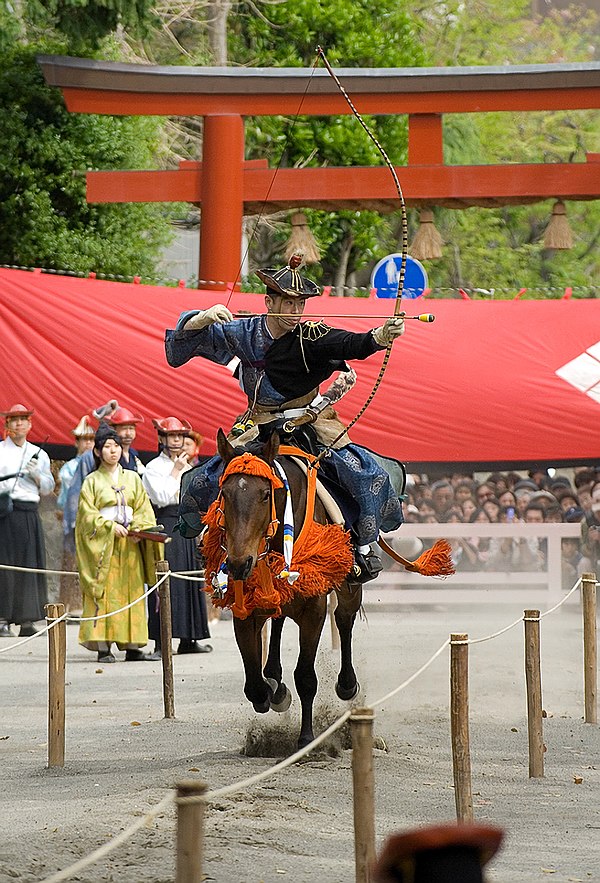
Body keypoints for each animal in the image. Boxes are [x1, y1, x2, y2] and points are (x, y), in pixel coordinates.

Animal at [204, 432, 360, 748]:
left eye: (266, 494)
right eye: (225, 493)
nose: (239, 563)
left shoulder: (314, 610)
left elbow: (306, 677)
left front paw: (306, 739)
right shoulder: (245, 609)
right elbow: (253, 683)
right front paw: (272, 693)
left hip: (349, 582)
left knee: (344, 618)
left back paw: (347, 684)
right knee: (277, 622)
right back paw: (275, 679)